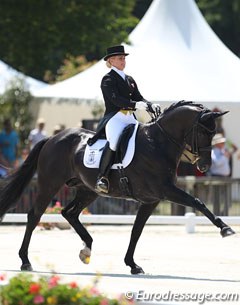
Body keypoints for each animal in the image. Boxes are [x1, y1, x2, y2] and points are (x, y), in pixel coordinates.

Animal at [0, 100, 234, 274]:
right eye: (204, 133)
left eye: (214, 133)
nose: (204, 166)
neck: (158, 144)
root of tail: (53, 137)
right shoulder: (166, 191)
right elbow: (198, 202)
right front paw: (226, 229)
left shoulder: (151, 200)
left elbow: (136, 231)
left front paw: (133, 264)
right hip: (49, 184)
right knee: (35, 215)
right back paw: (25, 261)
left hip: (88, 190)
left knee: (69, 213)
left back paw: (86, 248)